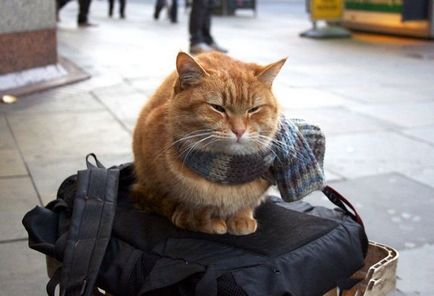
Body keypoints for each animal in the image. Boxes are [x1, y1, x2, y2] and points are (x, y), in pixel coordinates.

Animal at [133, 51, 288, 236]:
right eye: (217, 108)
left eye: (253, 110)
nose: (239, 131)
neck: (227, 172)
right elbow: (188, 207)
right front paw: (202, 220)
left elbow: (246, 205)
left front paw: (241, 217)